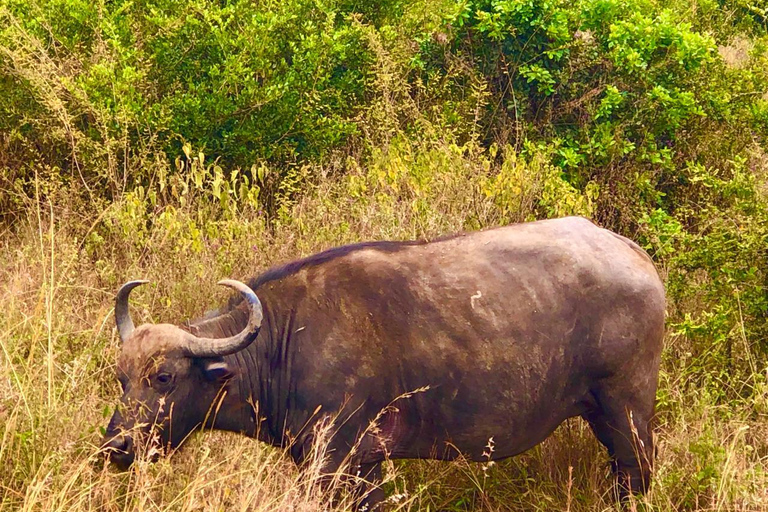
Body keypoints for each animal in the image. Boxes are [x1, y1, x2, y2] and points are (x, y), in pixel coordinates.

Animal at [103, 216, 664, 508]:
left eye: (164, 377)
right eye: (121, 378)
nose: (116, 447)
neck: (286, 341)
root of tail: (635, 254)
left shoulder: (338, 462)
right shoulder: (360, 467)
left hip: (627, 412)